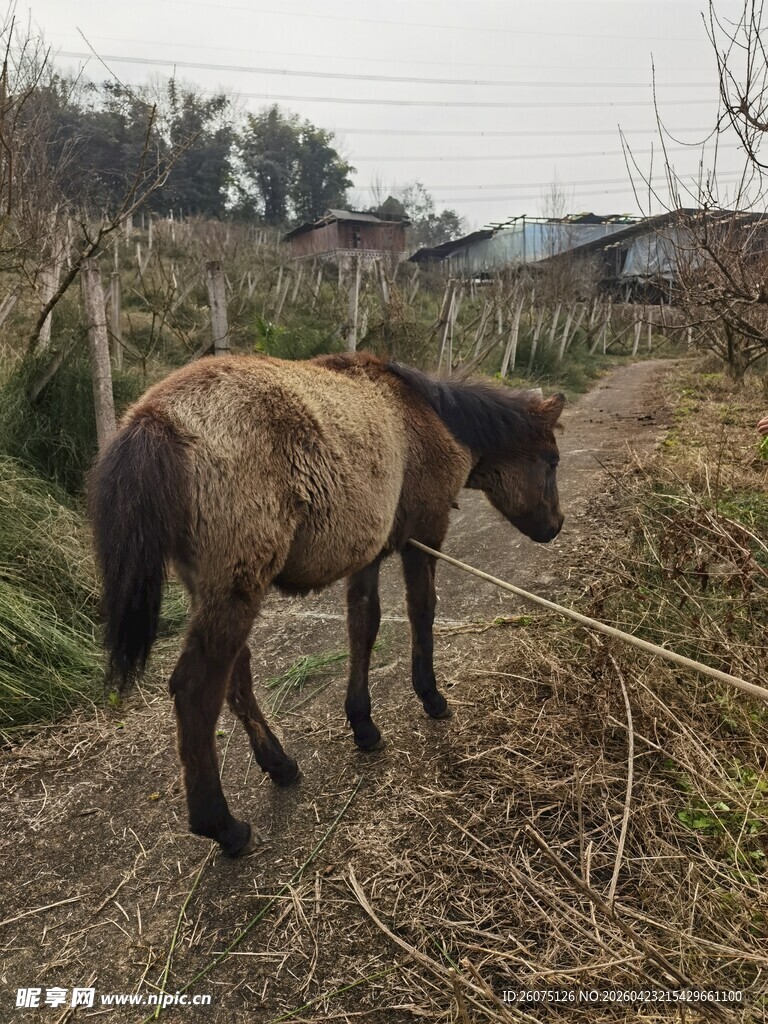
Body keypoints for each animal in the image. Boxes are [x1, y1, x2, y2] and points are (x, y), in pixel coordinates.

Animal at [88, 351, 565, 857]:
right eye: (552, 461)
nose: (556, 525)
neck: (427, 415)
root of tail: (155, 417)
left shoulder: (369, 554)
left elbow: (363, 625)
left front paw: (363, 723)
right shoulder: (423, 536)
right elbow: (422, 613)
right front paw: (430, 696)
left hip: (215, 590)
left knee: (236, 677)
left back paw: (279, 764)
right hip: (237, 588)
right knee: (197, 692)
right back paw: (222, 825)